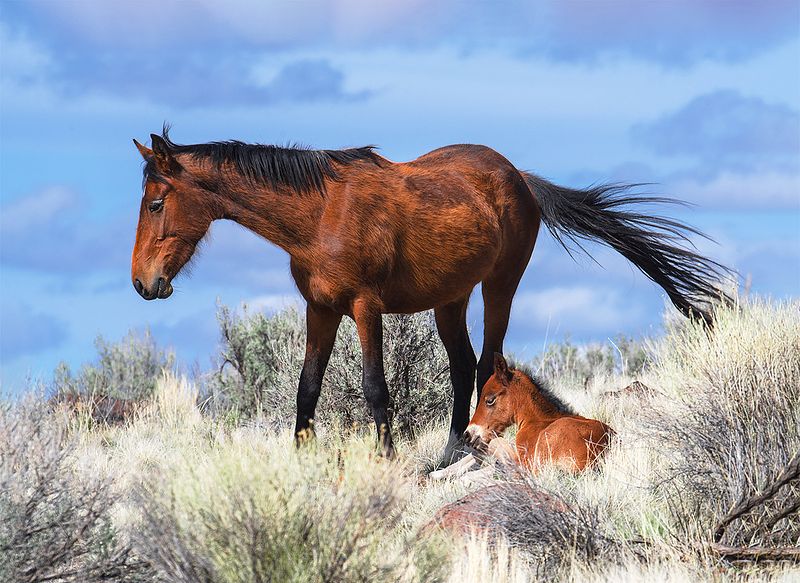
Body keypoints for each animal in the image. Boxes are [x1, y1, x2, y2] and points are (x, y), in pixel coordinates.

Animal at [130, 127, 731, 458]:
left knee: (489, 362)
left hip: (499, 287)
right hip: (450, 299)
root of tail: (519, 177)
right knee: (464, 365)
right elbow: (306, 390)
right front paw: (301, 459)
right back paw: (450, 448)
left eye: (156, 202)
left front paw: (387, 457)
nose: (143, 283)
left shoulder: (364, 307)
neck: (321, 215)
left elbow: (375, 388)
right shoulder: (320, 309)